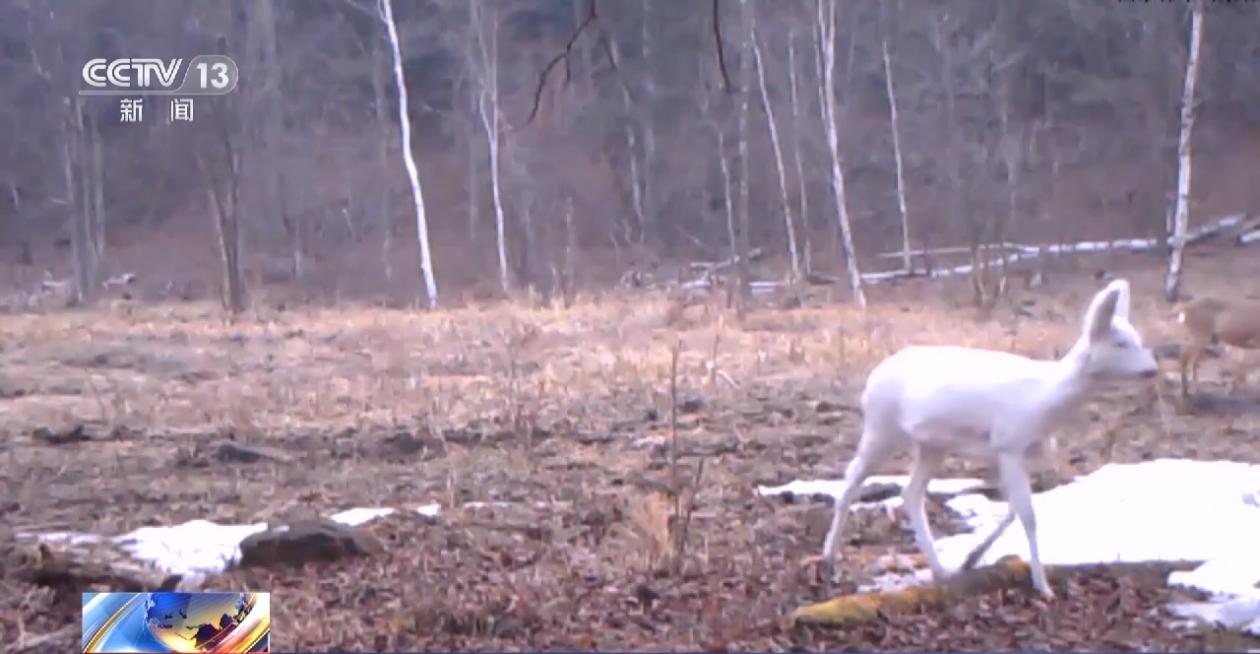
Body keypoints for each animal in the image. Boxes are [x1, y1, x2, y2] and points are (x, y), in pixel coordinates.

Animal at [821, 278, 1154, 597]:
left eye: (1138, 338)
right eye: (1120, 343)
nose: (1152, 369)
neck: (1045, 401)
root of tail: (873, 376)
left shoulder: (1020, 451)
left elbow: (1014, 509)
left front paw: (971, 558)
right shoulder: (1008, 443)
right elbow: (1028, 515)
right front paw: (1042, 585)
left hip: (932, 444)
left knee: (911, 492)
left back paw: (941, 569)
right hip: (882, 427)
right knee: (852, 476)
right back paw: (829, 556)